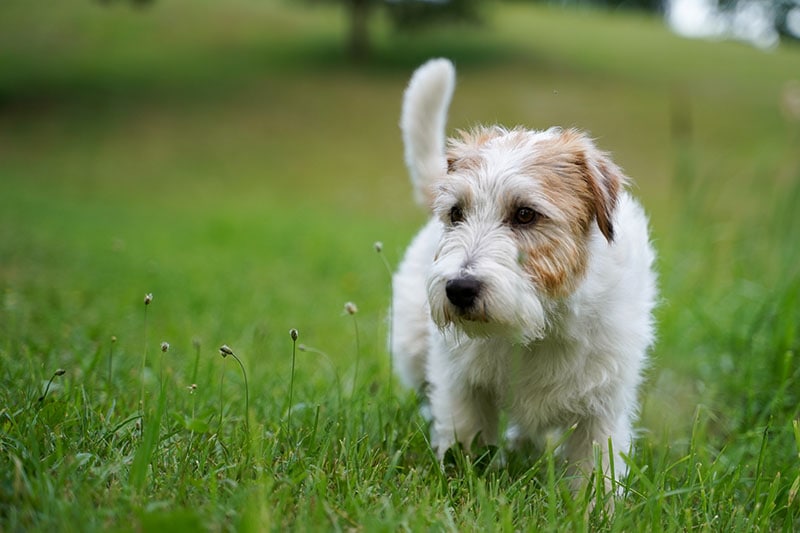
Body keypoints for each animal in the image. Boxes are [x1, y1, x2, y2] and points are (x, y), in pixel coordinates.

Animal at [390, 59, 660, 490]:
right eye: (456, 213)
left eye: (525, 214)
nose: (459, 289)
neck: (540, 325)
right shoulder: (460, 386)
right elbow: (464, 442)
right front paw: (463, 484)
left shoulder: (602, 409)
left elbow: (595, 474)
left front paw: (595, 505)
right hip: (411, 347)